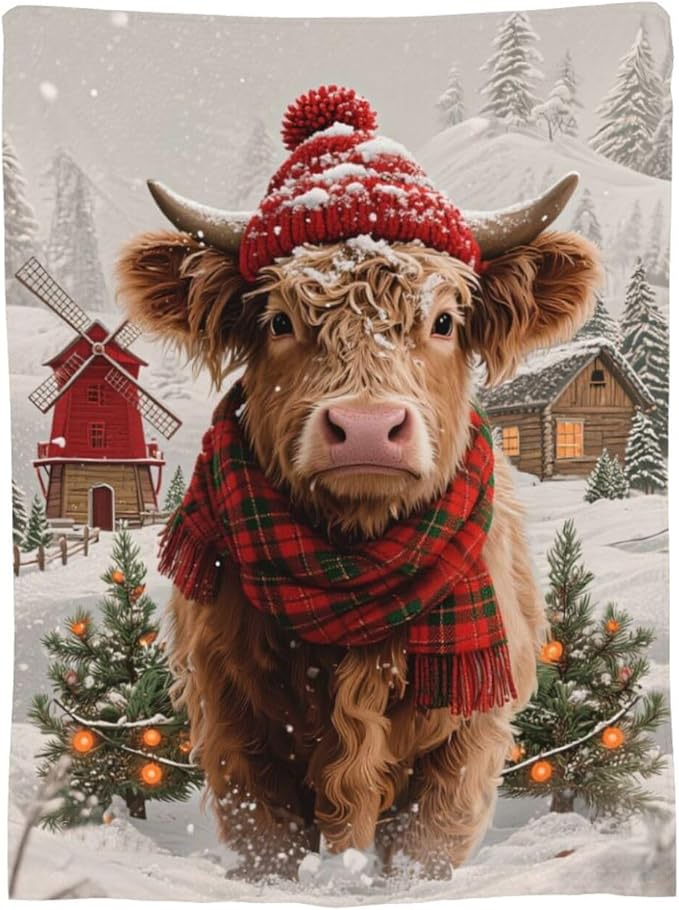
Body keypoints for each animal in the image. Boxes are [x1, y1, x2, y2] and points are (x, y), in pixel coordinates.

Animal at [117, 86, 602, 880]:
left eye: (445, 321)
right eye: (278, 320)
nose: (368, 427)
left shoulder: (467, 737)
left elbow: (426, 849)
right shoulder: (232, 728)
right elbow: (270, 845)